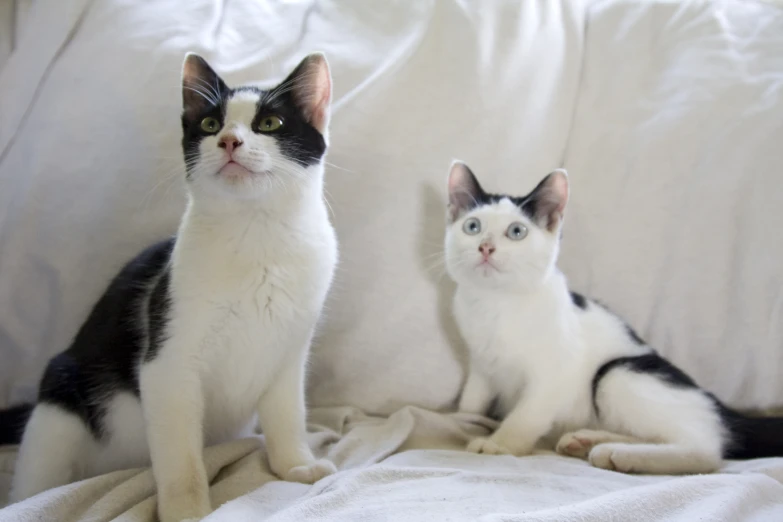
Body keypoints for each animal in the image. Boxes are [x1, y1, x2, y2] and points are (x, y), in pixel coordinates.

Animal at [3, 50, 340, 516]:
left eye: (270, 123)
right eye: (211, 124)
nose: (229, 141)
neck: (257, 233)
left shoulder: (288, 352)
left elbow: (288, 414)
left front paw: (295, 464)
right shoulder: (167, 364)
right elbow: (181, 459)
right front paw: (187, 511)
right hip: (60, 404)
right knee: (35, 482)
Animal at [444, 161, 783, 472]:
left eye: (517, 232)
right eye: (472, 227)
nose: (485, 247)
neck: (496, 303)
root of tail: (719, 405)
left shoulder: (558, 370)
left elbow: (527, 414)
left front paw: (501, 443)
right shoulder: (482, 366)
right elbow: (471, 401)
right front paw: (462, 420)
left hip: (617, 373)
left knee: (704, 450)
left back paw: (623, 455)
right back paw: (590, 442)